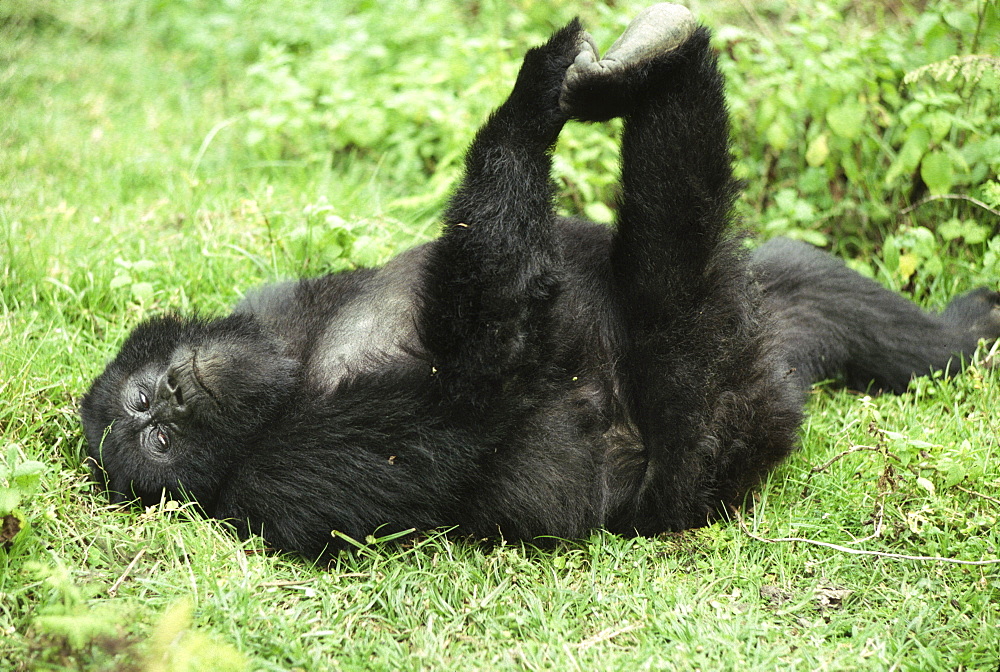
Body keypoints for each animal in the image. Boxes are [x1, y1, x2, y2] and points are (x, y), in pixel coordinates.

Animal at [80, 5, 1000, 560]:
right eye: (155, 441)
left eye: (150, 396)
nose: (173, 400)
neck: (288, 365)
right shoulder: (284, 475)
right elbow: (482, 366)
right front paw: (527, 104)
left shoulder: (268, 308)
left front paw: (545, 90)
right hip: (722, 423)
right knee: (680, 283)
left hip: (768, 321)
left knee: (796, 280)